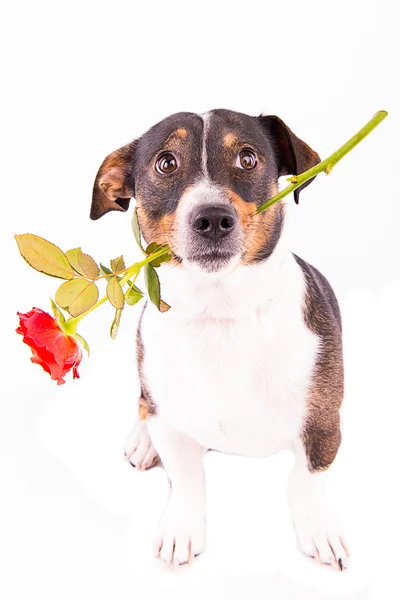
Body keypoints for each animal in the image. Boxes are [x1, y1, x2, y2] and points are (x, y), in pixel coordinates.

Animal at [89, 109, 348, 572]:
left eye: (247, 158)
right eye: (166, 163)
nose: (211, 218)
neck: (220, 313)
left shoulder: (323, 425)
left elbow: (307, 480)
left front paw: (319, 530)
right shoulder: (171, 426)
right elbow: (186, 480)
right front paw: (181, 528)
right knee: (144, 401)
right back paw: (142, 439)